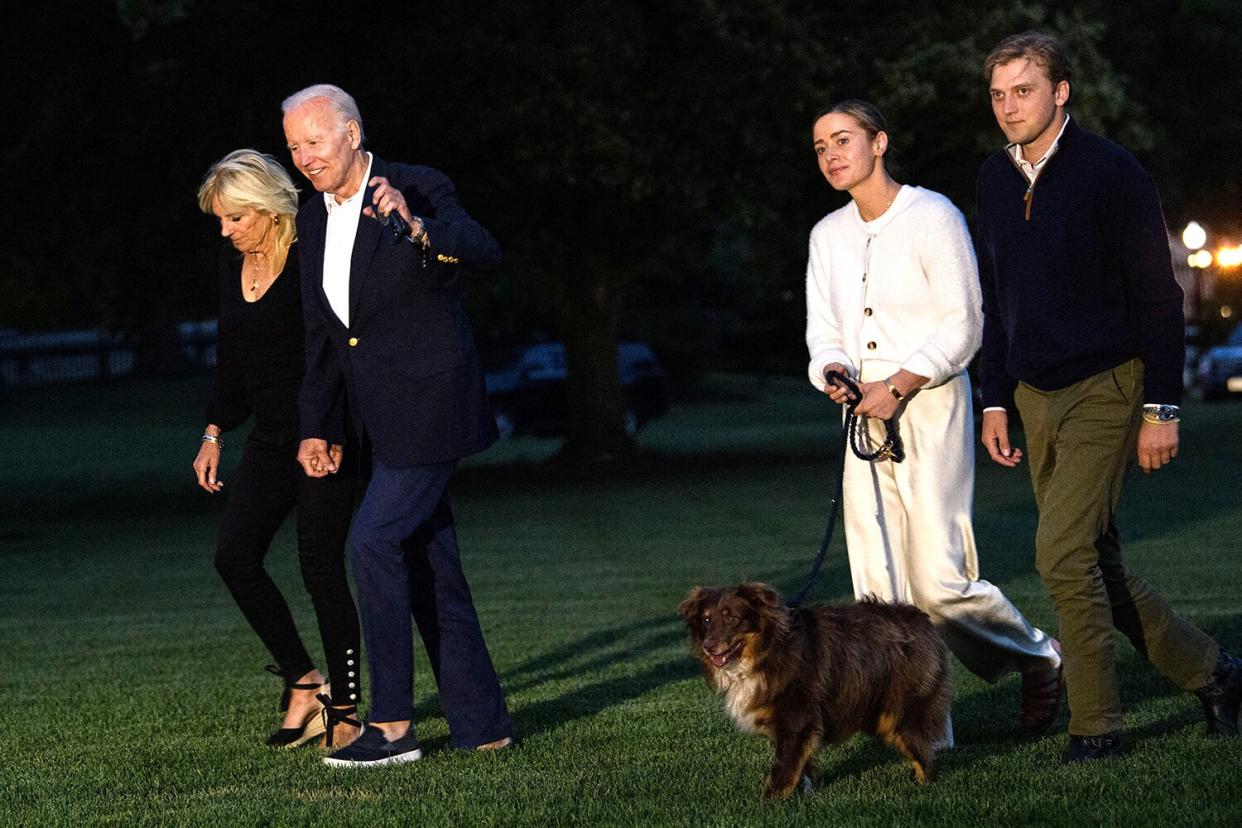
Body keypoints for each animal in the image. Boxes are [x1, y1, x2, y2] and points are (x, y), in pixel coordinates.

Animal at [680, 580, 948, 799]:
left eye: (732, 619)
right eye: (705, 620)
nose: (709, 646)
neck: (768, 651)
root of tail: (921, 618)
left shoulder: (795, 719)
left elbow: (782, 770)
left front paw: (768, 805)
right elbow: (800, 766)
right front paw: (803, 797)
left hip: (898, 710)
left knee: (922, 751)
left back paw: (923, 786)